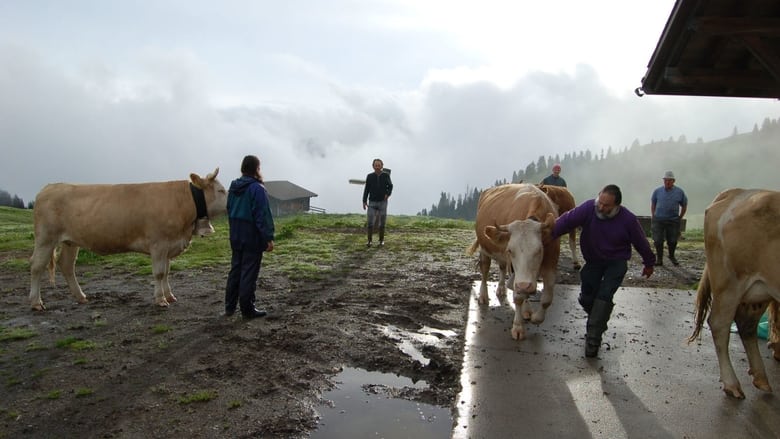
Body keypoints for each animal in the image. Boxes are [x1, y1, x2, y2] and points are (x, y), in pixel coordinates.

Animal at [28, 168, 229, 310]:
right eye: (221, 190)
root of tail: (50, 187)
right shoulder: (159, 244)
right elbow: (159, 273)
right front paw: (160, 299)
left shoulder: (168, 246)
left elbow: (166, 272)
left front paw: (169, 295)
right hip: (46, 239)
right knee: (37, 266)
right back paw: (36, 302)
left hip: (71, 242)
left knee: (67, 265)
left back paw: (81, 296)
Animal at [466, 184, 556, 342]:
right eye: (510, 250)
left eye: (539, 250)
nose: (524, 285)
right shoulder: (514, 270)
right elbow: (518, 297)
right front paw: (518, 327)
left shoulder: (551, 262)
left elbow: (547, 298)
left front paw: (536, 318)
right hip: (485, 250)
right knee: (485, 270)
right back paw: (483, 296)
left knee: (503, 268)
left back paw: (507, 292)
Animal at [688, 187, 780, 400]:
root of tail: (737, 192)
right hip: (730, 283)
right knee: (719, 324)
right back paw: (732, 383)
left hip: (759, 290)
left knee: (747, 324)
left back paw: (760, 378)